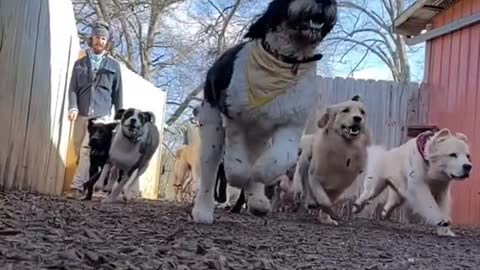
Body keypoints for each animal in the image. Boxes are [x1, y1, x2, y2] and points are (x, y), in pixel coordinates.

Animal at [191, 0, 338, 224]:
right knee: (210, 170)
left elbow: (280, 158)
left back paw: (257, 199)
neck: (285, 62)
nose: (325, 1)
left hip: (259, 134)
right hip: (212, 126)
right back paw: (203, 210)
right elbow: (236, 163)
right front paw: (239, 175)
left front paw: (260, 175)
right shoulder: (235, 118)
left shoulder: (291, 123)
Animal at [290, 96, 370, 225]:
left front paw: (326, 218)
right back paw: (310, 202)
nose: (358, 118)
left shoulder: (339, 187)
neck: (344, 148)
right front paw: (329, 212)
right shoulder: (315, 178)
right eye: (345, 110)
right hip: (305, 159)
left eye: (362, 112)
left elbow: (330, 200)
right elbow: (323, 199)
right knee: (305, 184)